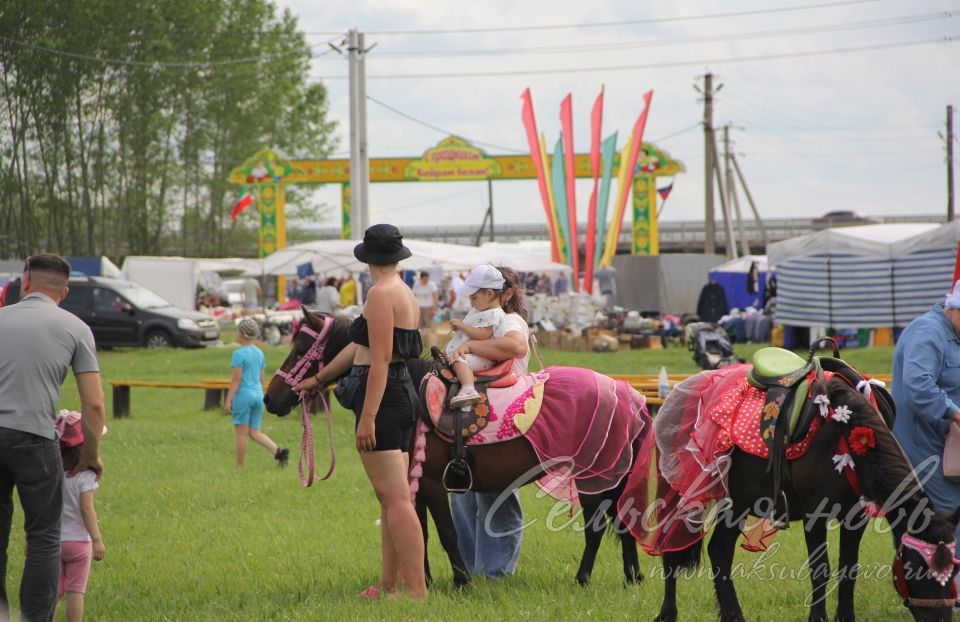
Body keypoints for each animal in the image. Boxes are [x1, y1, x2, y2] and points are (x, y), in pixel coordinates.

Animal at [262, 312, 652, 588]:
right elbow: (418, 530)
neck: (410, 399)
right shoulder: (413, 483)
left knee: (597, 529)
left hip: (594, 479)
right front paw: (423, 581)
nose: (270, 398)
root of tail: (629, 394)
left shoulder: (434, 482)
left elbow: (447, 534)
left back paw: (584, 578)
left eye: (301, 349)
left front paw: (462, 581)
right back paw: (632, 577)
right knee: (622, 525)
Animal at [652, 372, 960, 622]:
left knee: (719, 551)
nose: (942, 618)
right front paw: (818, 617)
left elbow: (848, 568)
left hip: (738, 504)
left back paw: (733, 615)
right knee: (672, 553)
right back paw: (668, 613)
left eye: (953, 568)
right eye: (916, 566)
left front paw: (845, 616)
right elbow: (820, 569)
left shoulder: (855, 516)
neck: (844, 432)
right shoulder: (816, 513)